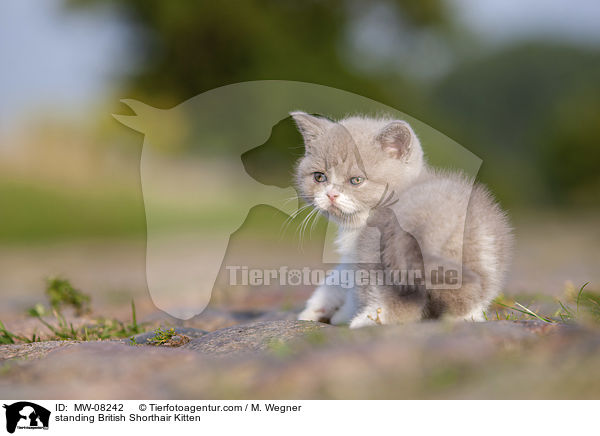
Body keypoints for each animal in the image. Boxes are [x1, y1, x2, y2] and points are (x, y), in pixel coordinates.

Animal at [290, 111, 510, 328]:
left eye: (356, 180)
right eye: (319, 177)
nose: (331, 195)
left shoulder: (360, 253)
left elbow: (346, 285)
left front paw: (337, 313)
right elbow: (336, 279)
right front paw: (316, 309)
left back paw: (364, 321)